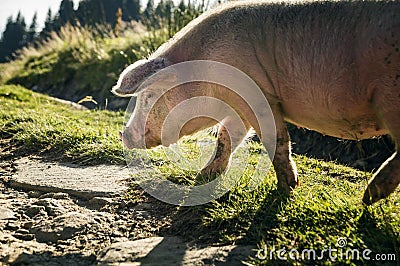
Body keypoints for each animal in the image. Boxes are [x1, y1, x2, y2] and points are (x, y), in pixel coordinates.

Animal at [111, 0, 400, 205]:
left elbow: (275, 139)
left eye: (149, 96)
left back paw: (368, 198)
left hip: (390, 96)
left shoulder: (259, 97)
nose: (123, 135)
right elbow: (226, 137)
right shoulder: (238, 107)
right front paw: (202, 177)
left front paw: (287, 188)